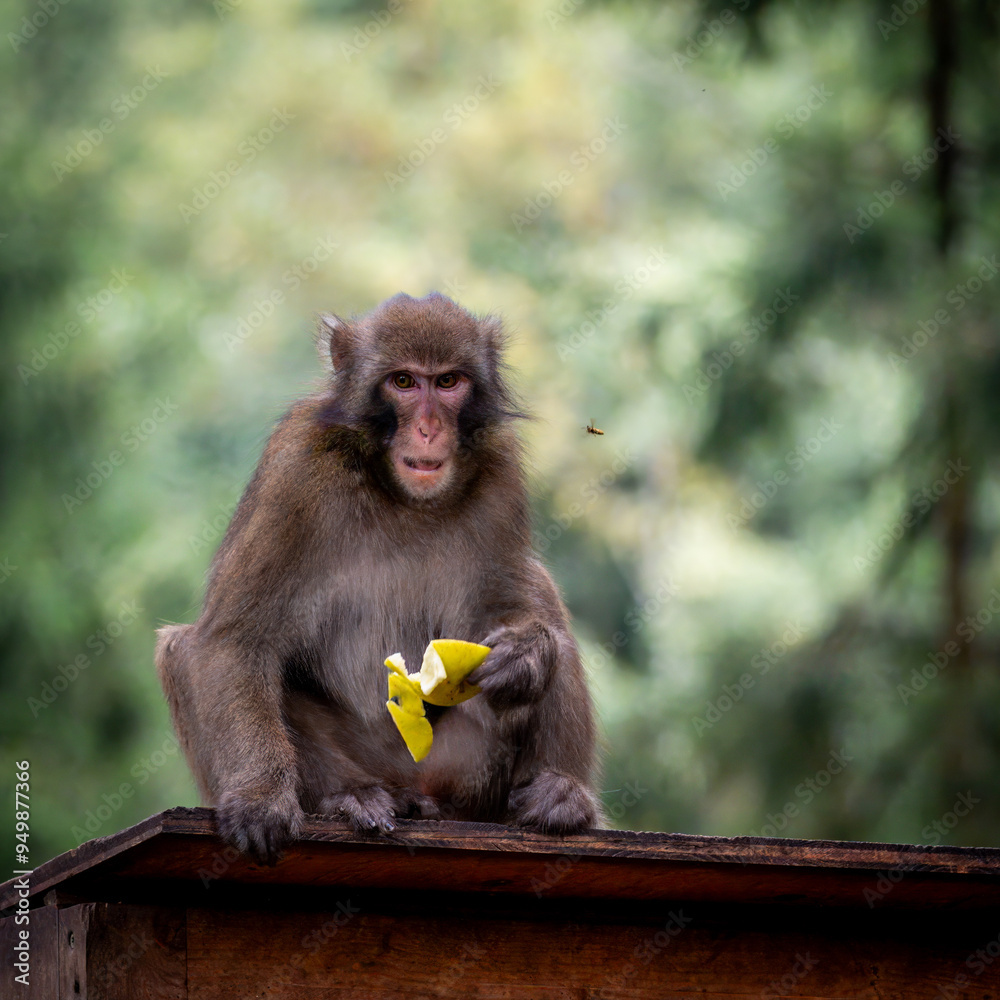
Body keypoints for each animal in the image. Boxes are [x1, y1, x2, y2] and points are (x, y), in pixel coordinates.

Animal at [156, 292, 602, 864]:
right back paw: (351, 797)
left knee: (543, 599)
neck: (395, 490)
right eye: (404, 382)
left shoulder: (500, 470)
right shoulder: (295, 472)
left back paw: (561, 796)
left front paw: (526, 654)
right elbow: (233, 640)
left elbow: (510, 604)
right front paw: (259, 799)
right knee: (181, 647)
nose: (429, 427)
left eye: (448, 381)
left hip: (469, 767)